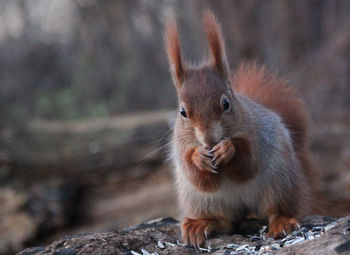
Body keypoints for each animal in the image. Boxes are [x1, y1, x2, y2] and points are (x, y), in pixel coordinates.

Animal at [164, 10, 314, 248]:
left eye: (226, 103)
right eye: (182, 111)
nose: (209, 139)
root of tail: (244, 207)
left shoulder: (256, 135)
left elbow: (248, 164)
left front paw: (227, 149)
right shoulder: (180, 147)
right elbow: (198, 176)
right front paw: (199, 157)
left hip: (280, 181)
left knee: (277, 209)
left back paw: (282, 222)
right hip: (200, 200)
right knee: (223, 223)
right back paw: (199, 225)